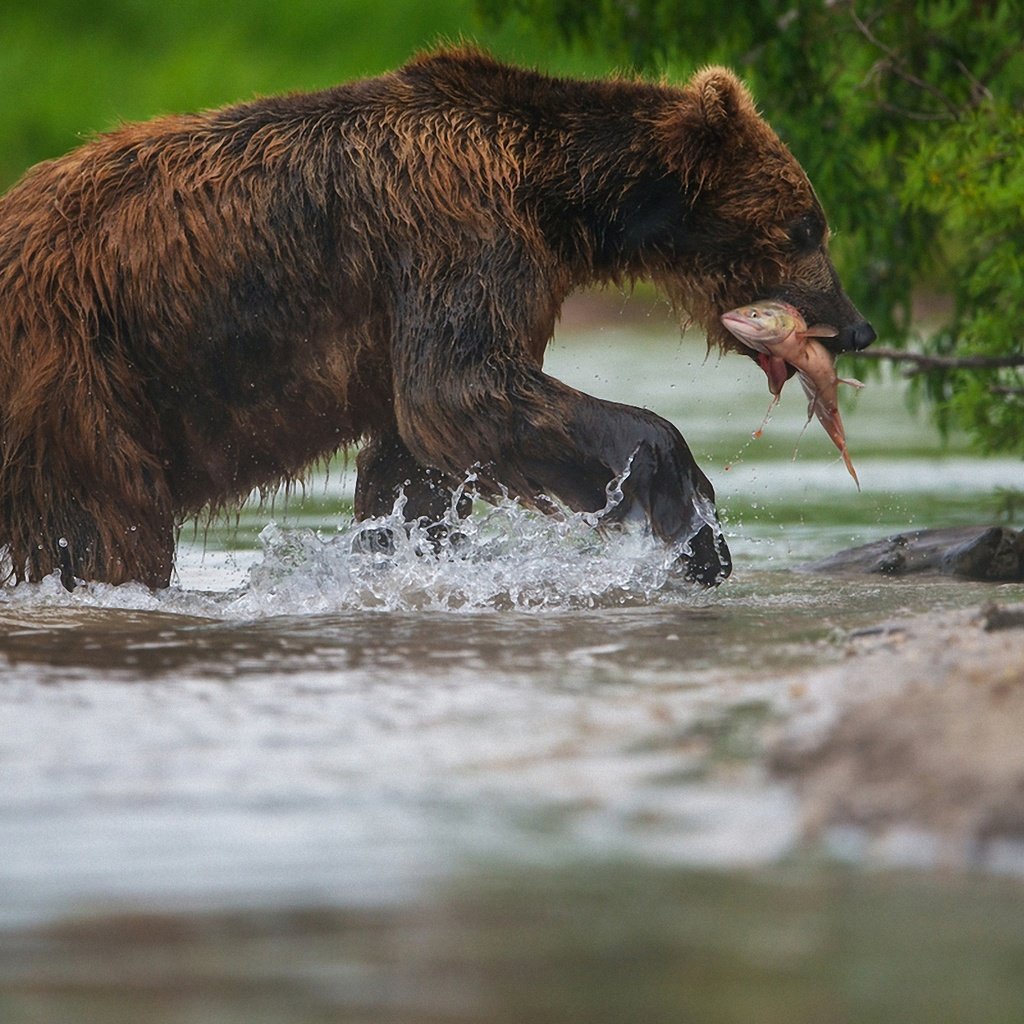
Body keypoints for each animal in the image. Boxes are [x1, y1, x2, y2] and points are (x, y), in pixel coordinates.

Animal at [0, 48, 872, 593]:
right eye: (808, 226)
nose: (856, 326)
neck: (562, 202)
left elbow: (417, 456)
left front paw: (403, 551)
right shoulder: (456, 235)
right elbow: (461, 389)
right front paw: (690, 523)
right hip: (85, 369)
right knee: (104, 521)